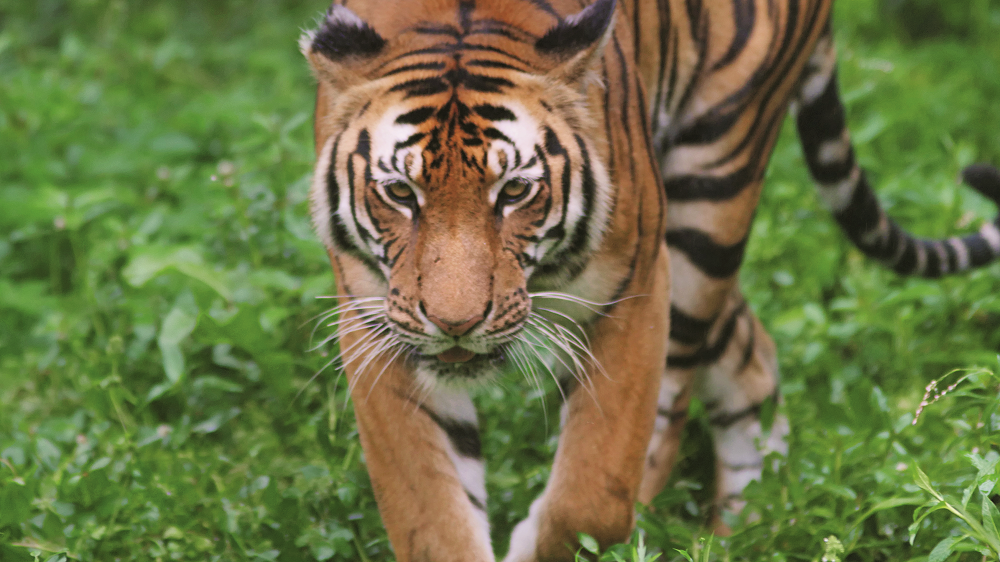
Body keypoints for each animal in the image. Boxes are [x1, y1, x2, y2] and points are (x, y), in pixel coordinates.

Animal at [300, 0, 1000, 556]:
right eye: (400, 193)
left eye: (515, 191)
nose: (455, 323)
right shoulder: (375, 321)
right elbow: (432, 515)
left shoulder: (633, 289)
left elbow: (594, 493)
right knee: (752, 354)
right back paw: (751, 526)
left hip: (711, 200)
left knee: (673, 403)